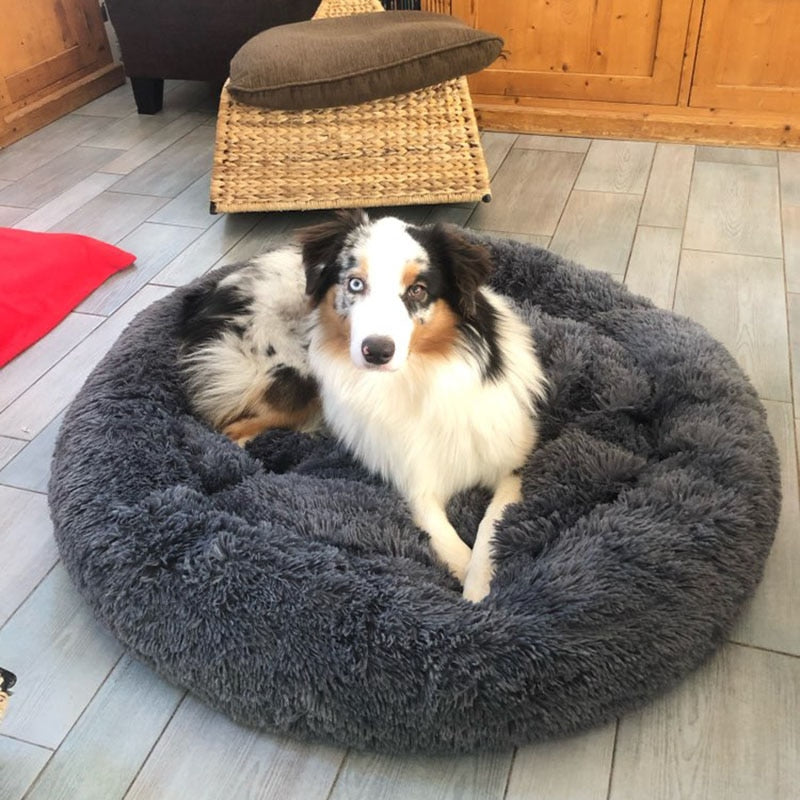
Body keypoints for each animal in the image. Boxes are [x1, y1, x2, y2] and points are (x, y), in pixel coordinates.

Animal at [179, 209, 548, 604]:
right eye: (355, 284)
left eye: (418, 290)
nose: (377, 351)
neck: (417, 378)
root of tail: (211, 295)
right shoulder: (411, 476)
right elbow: (442, 533)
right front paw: (465, 590)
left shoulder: (513, 462)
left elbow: (492, 524)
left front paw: (480, 588)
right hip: (297, 378)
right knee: (229, 428)